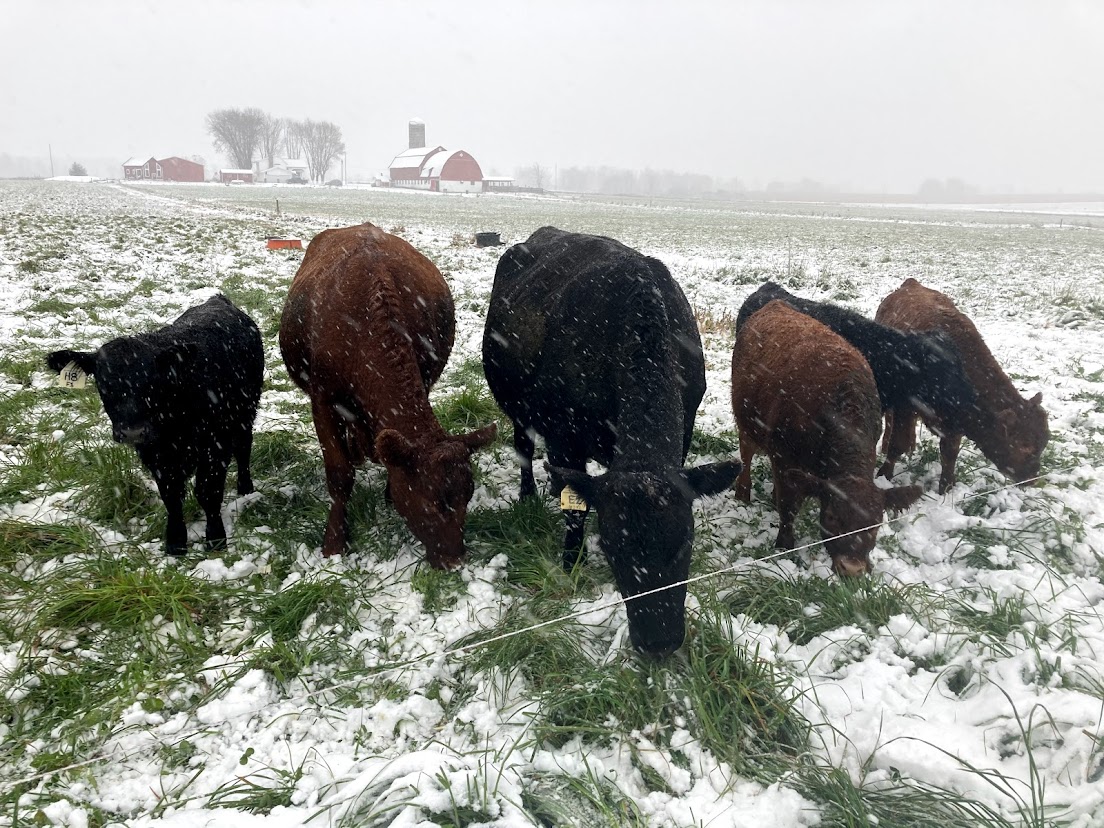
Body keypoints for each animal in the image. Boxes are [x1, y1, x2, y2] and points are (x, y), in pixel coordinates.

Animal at [46, 294, 263, 556]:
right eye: (104, 383)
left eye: (152, 380)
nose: (132, 432)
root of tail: (218, 299)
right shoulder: (155, 453)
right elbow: (171, 495)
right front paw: (175, 542)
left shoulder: (215, 445)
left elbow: (208, 492)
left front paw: (216, 539)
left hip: (246, 412)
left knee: (244, 448)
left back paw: (245, 487)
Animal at [279, 222, 496, 566]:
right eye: (431, 501)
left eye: (469, 495)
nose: (455, 561)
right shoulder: (322, 399)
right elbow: (339, 473)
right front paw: (334, 541)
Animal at [483, 226, 742, 657]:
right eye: (611, 547)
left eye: (685, 541)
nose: (659, 643)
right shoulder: (564, 436)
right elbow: (575, 514)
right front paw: (571, 565)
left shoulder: (685, 430)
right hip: (515, 404)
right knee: (524, 447)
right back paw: (529, 494)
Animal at [732, 300, 922, 576]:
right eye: (832, 517)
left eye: (875, 525)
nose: (852, 569)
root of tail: (775, 304)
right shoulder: (784, 459)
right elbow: (789, 506)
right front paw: (784, 545)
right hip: (746, 421)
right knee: (746, 455)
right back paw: (743, 492)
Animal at [875, 278, 1049, 493]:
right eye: (1025, 448)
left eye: (1044, 442)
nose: (1032, 478)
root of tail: (911, 284)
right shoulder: (905, 407)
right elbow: (897, 444)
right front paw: (884, 475)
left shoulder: (956, 423)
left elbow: (949, 454)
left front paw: (947, 488)